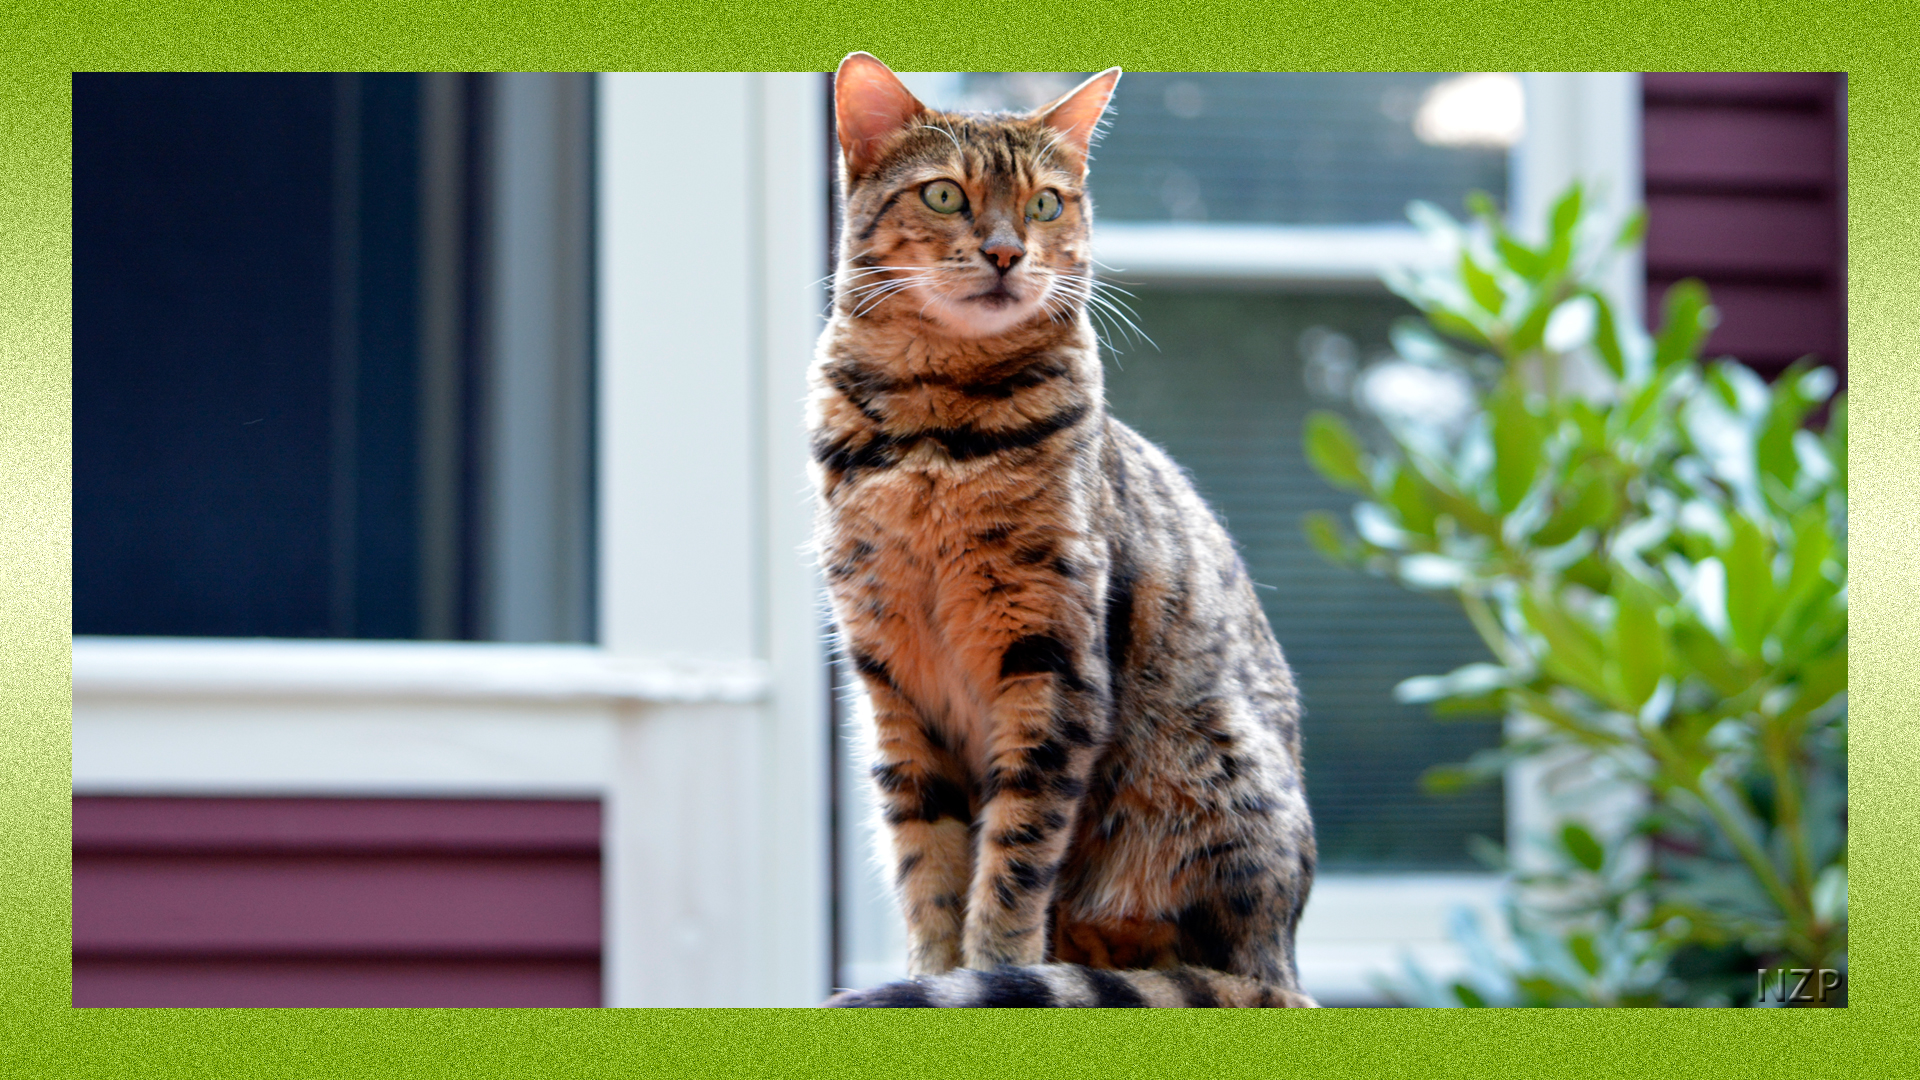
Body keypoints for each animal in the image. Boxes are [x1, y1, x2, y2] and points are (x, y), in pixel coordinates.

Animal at [810, 54, 1320, 1006]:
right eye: (944, 195)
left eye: (1046, 204)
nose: (1008, 251)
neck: (935, 428)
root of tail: (1283, 961)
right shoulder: (893, 680)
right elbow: (928, 865)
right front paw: (938, 973)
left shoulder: (1052, 664)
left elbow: (1014, 862)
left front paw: (993, 972)